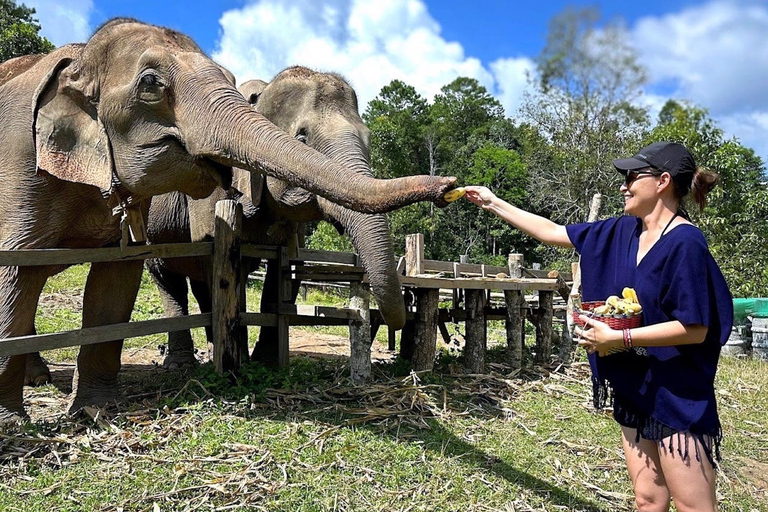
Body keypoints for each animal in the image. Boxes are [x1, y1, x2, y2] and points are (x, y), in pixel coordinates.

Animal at [145, 67, 408, 372]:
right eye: (302, 139)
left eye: (369, 140)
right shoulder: (209, 193)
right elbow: (217, 263)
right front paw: (238, 364)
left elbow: (289, 267)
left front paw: (267, 362)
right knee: (170, 280)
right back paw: (182, 363)